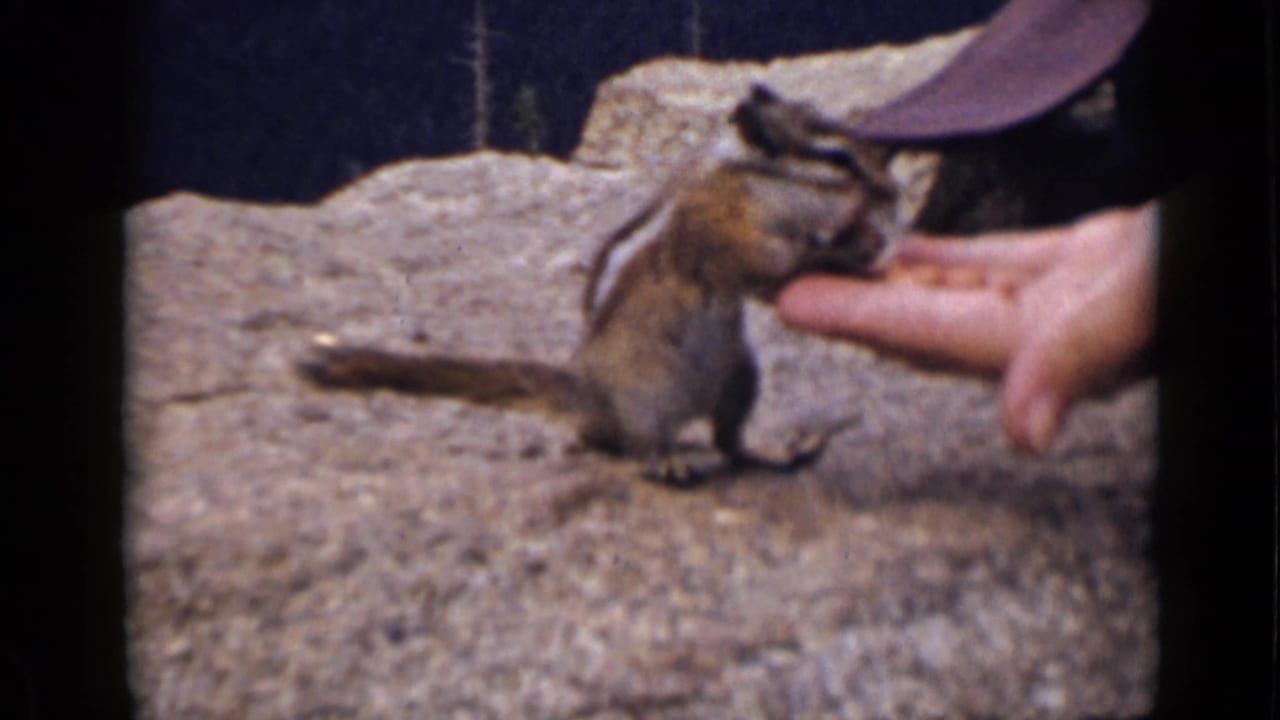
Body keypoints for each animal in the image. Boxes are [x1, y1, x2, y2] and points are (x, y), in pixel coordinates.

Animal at [297, 84, 900, 484]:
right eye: (836, 162)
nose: (889, 198)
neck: (755, 188)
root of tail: (589, 394)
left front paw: (859, 248)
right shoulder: (727, 233)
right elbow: (770, 267)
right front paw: (841, 251)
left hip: (740, 377)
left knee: (726, 442)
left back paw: (769, 454)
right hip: (653, 394)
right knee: (633, 444)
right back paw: (667, 461)